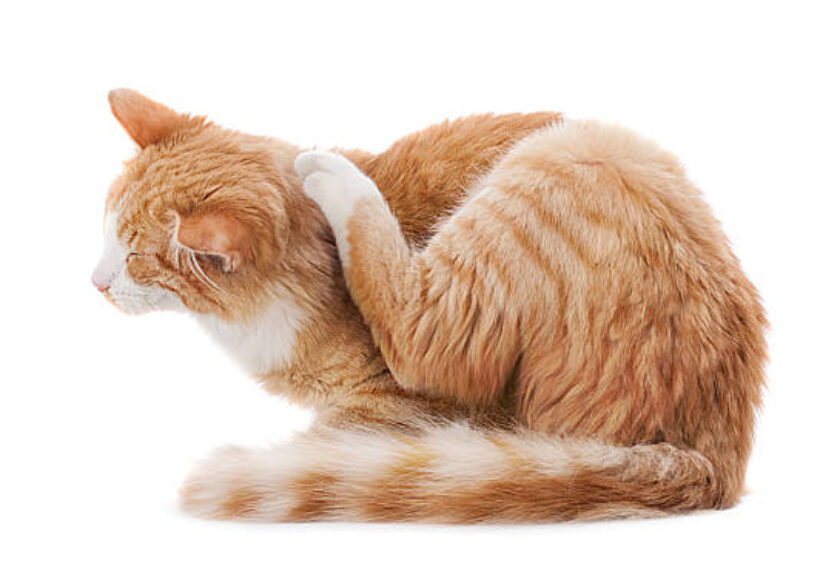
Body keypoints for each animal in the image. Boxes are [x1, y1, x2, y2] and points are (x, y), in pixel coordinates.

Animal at [93, 88, 768, 524]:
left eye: (135, 257)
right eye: (105, 231)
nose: (95, 282)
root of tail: (715, 459)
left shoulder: (395, 410)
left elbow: (340, 439)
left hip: (559, 158)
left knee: (419, 328)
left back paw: (334, 175)